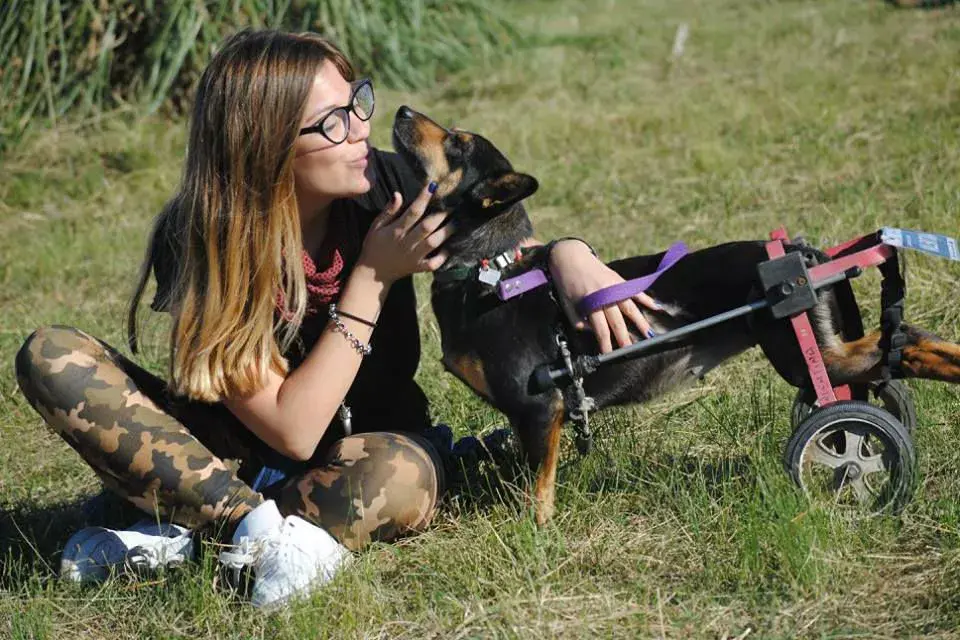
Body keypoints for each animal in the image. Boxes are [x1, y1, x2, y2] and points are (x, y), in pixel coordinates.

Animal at [388, 105, 960, 524]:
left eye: (457, 142)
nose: (401, 108)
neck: (490, 271)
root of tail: (805, 252)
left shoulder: (538, 409)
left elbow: (539, 491)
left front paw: (538, 537)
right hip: (819, 352)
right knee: (900, 344)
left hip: (804, 355)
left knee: (897, 344)